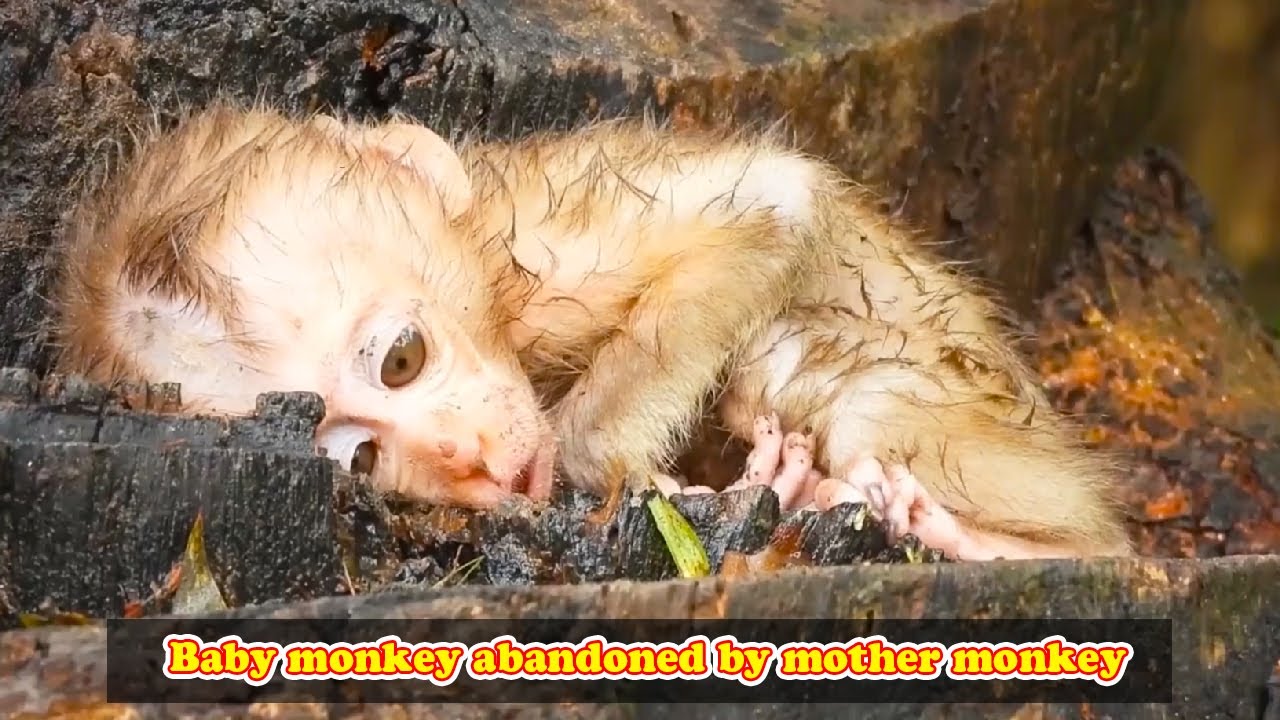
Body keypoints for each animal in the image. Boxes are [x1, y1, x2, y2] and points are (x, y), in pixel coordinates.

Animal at [49, 102, 1132, 561]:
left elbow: (771, 201)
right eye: (360, 460)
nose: (464, 459)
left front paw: (605, 469)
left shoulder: (551, 244)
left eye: (402, 359)